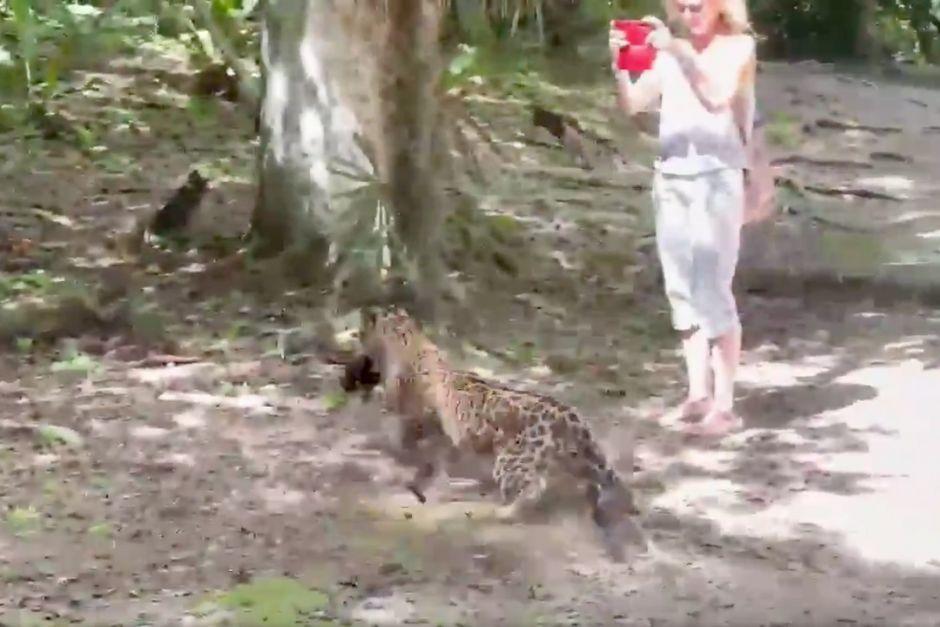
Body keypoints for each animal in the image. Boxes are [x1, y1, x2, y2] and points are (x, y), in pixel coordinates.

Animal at [341, 306, 642, 558]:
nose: (359, 338)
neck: (411, 341)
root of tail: (565, 412)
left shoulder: (415, 420)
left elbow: (404, 441)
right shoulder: (444, 436)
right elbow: (436, 458)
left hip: (512, 461)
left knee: (534, 487)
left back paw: (504, 512)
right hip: (575, 457)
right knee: (598, 478)